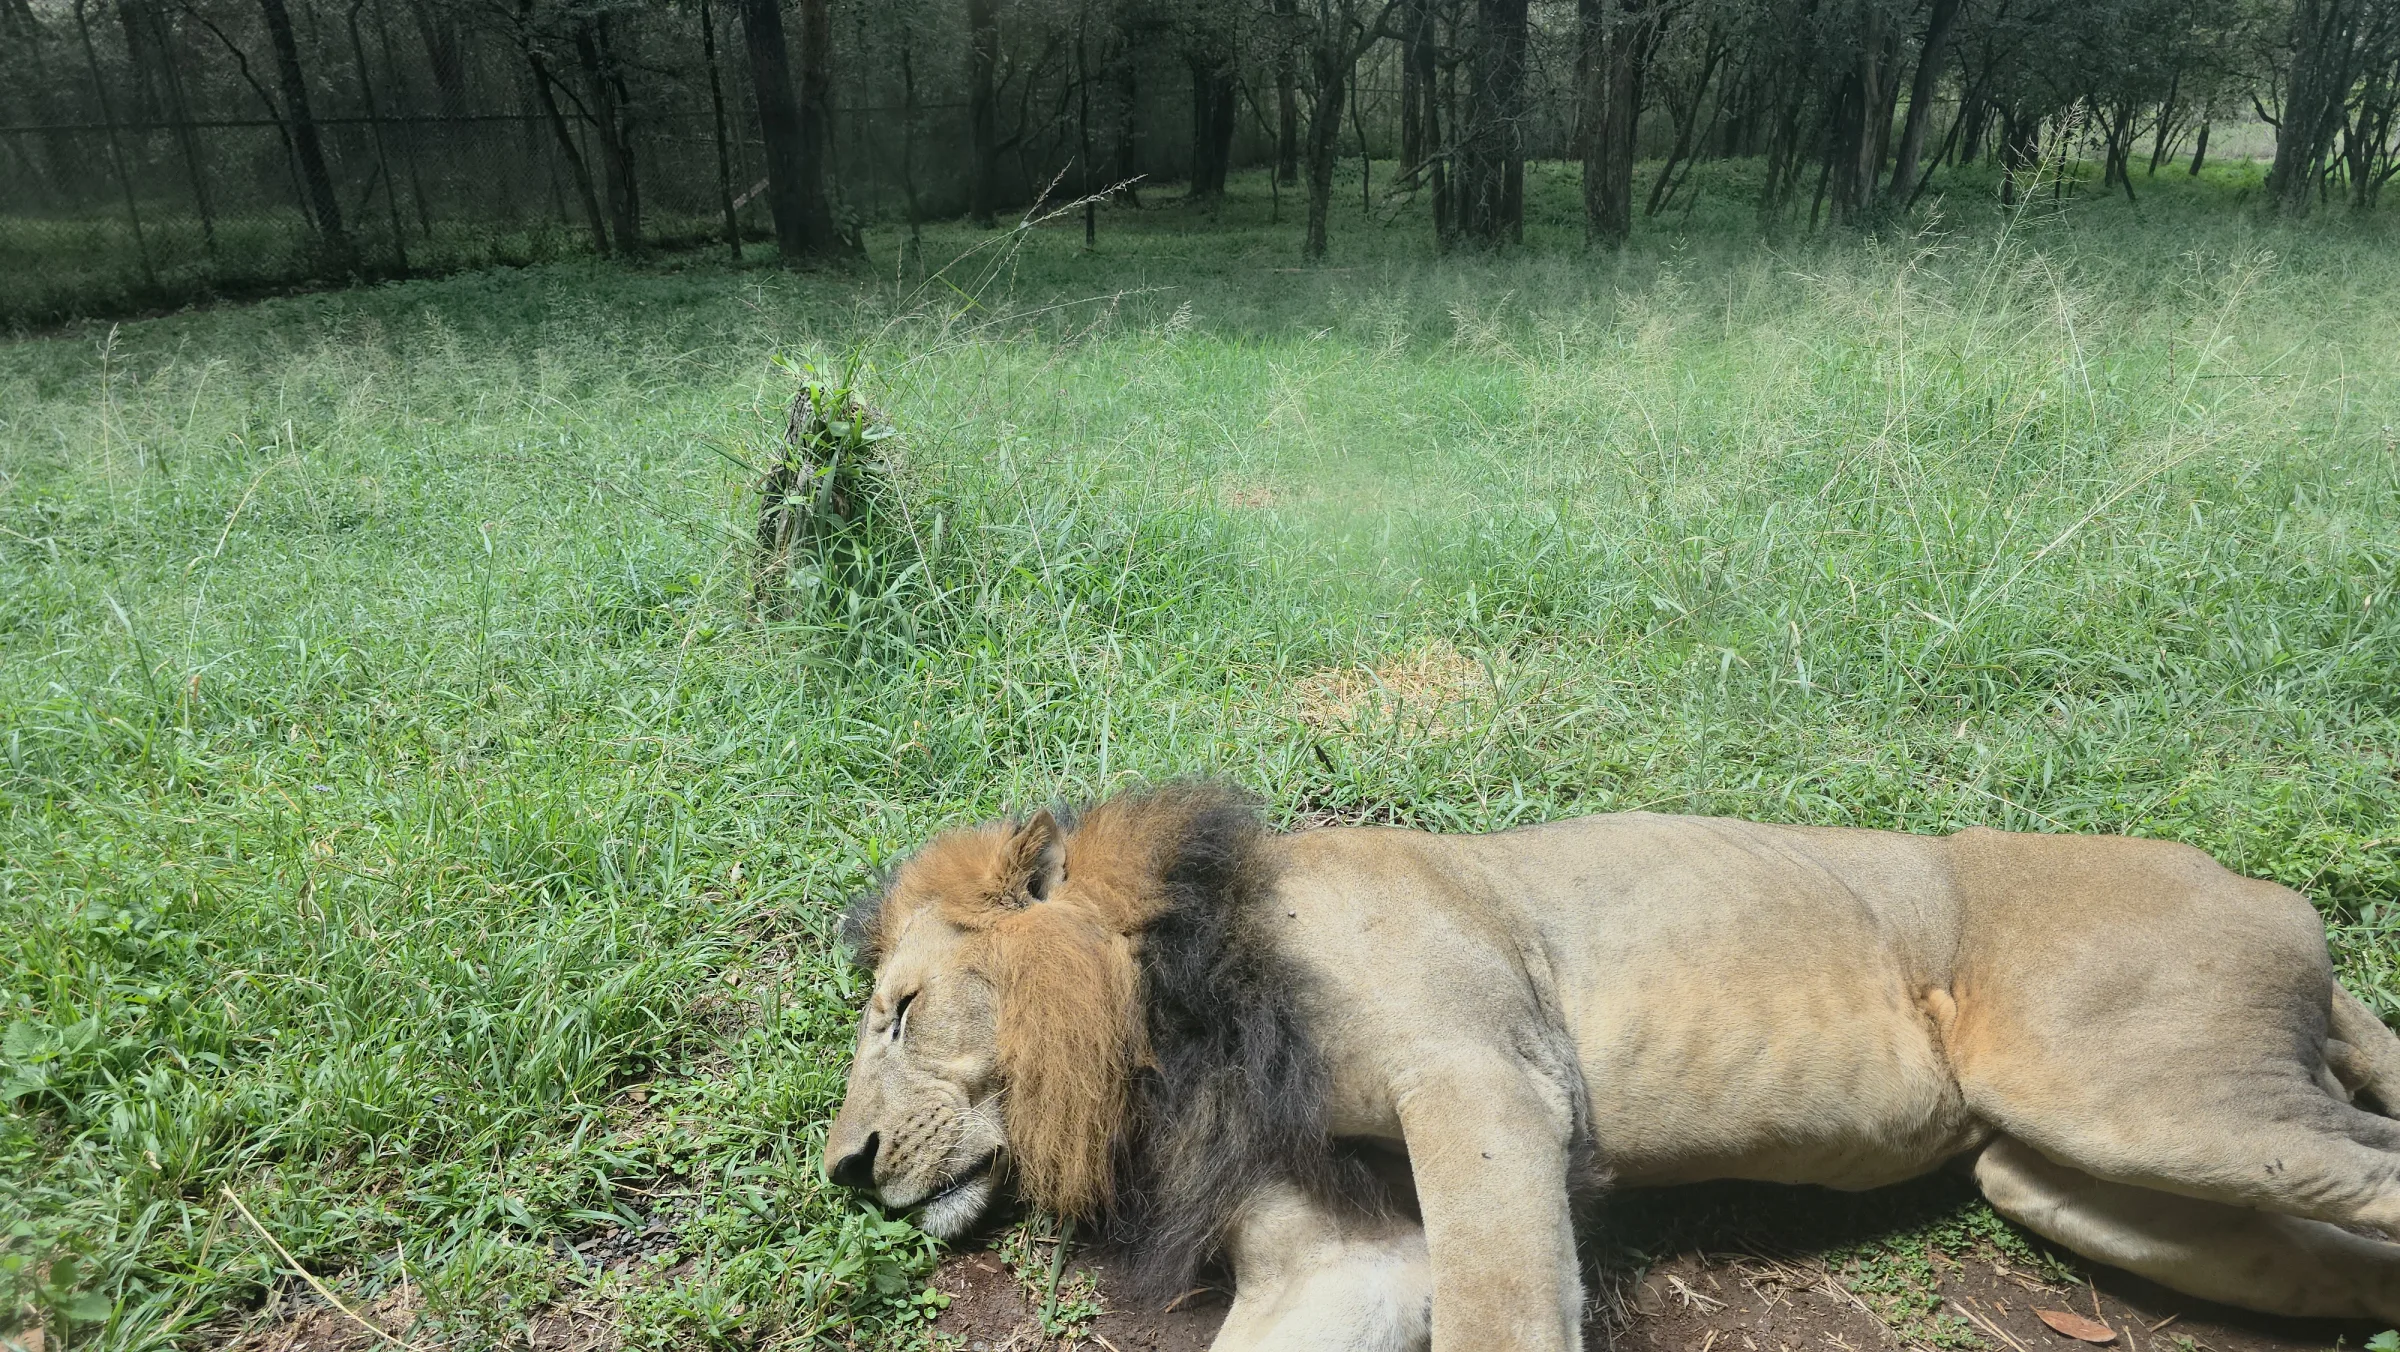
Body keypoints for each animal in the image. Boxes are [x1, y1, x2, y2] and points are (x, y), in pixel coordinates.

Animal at [826, 784, 2400, 1350]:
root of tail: (2275, 897)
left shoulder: (1487, 1078)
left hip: (2128, 1094)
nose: (842, 1168)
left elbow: (1504, 1318)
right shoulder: (1350, 1255)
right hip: (2056, 1175)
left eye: (899, 1013)